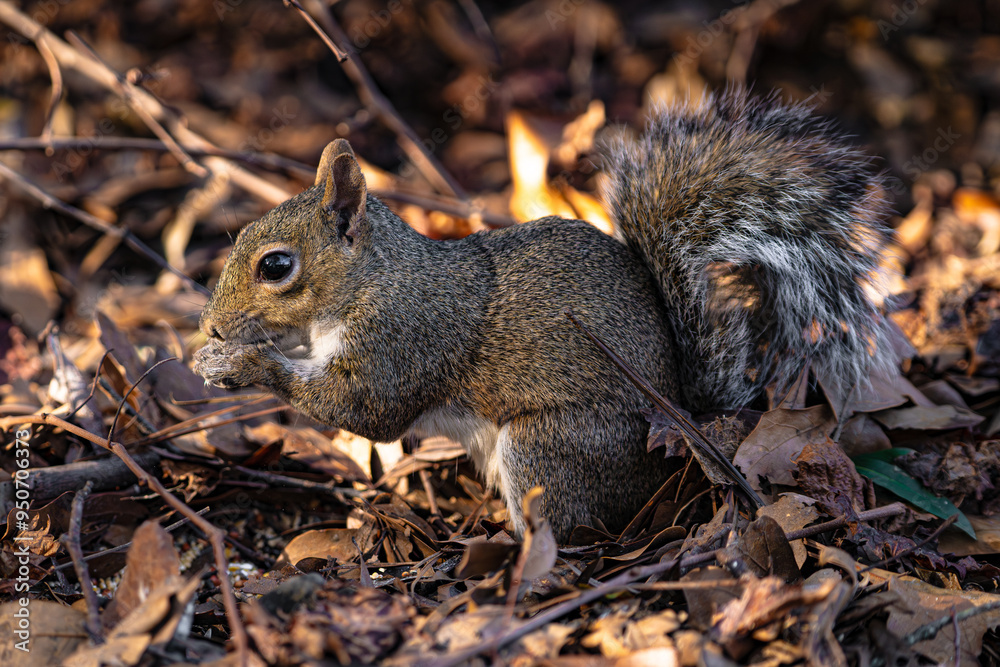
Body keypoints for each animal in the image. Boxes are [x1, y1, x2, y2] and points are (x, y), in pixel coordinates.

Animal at [194, 90, 895, 542]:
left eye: (276, 266)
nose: (215, 326)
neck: (372, 281)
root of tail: (680, 428)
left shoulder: (404, 339)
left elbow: (364, 410)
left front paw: (245, 363)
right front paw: (215, 356)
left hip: (551, 446)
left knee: (568, 522)